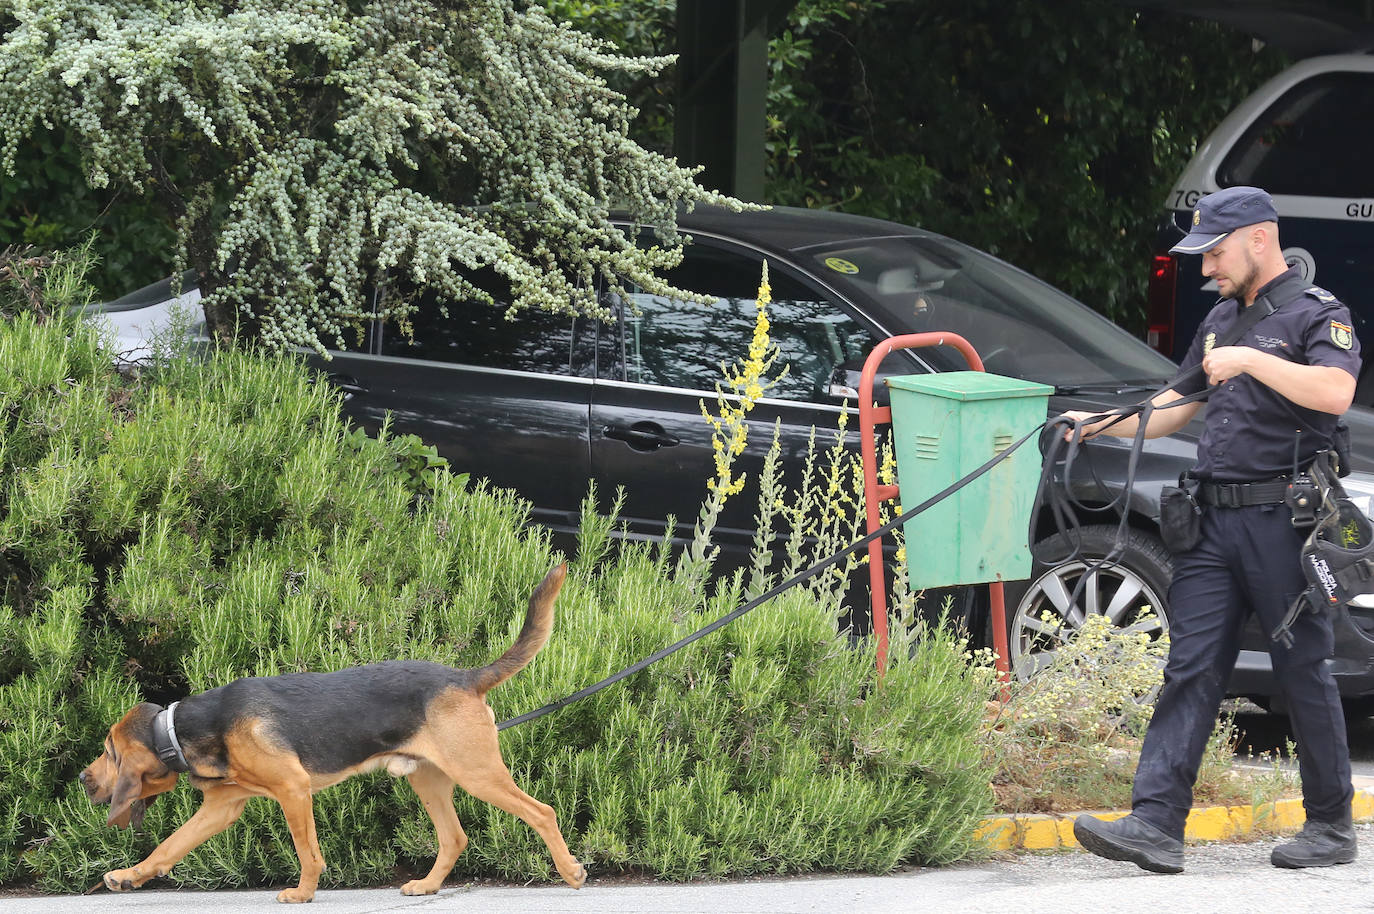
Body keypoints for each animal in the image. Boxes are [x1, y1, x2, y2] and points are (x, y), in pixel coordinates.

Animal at [79, 560, 585, 901]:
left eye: (108, 751)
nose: (82, 778)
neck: (181, 730)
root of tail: (465, 677)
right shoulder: (222, 806)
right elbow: (168, 848)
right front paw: (127, 876)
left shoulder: (293, 789)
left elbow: (307, 850)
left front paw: (302, 893)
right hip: (428, 778)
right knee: (454, 837)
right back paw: (426, 885)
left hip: (476, 773)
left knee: (542, 812)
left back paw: (571, 872)